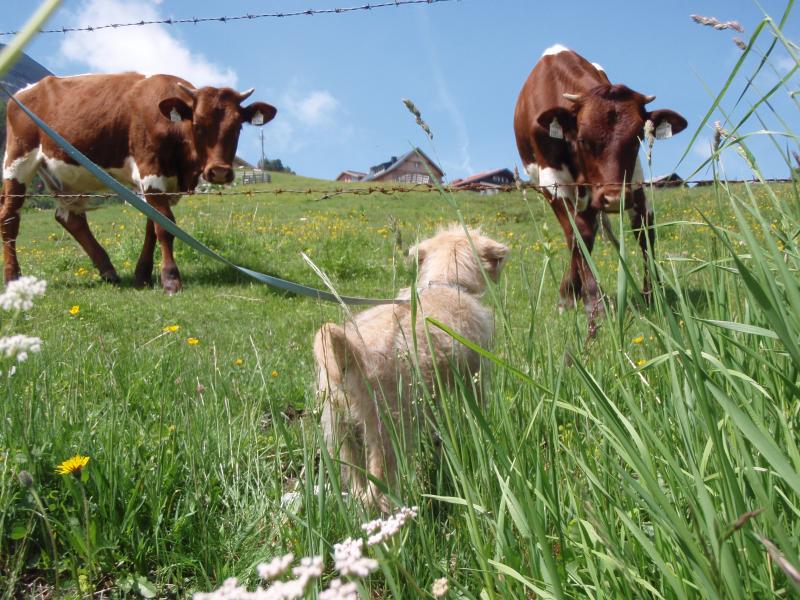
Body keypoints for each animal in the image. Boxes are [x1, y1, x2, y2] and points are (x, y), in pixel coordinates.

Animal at [3, 72, 276, 292]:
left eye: (238, 126)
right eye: (197, 124)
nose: (219, 172)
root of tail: (24, 92)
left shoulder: (159, 183)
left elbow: (153, 226)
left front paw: (142, 276)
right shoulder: (151, 172)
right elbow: (165, 227)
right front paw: (171, 279)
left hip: (68, 175)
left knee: (70, 219)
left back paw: (107, 269)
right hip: (18, 159)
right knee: (9, 218)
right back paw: (12, 277)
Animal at [312, 225, 506, 510]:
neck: (445, 283)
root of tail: (351, 355)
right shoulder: (473, 378)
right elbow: (476, 409)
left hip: (340, 428)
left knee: (357, 481)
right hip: (389, 429)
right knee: (376, 489)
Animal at [520, 45, 688, 328]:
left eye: (638, 137)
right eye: (582, 139)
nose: (614, 198)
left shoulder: (627, 183)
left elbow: (643, 230)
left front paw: (650, 295)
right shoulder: (552, 182)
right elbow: (578, 235)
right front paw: (587, 301)